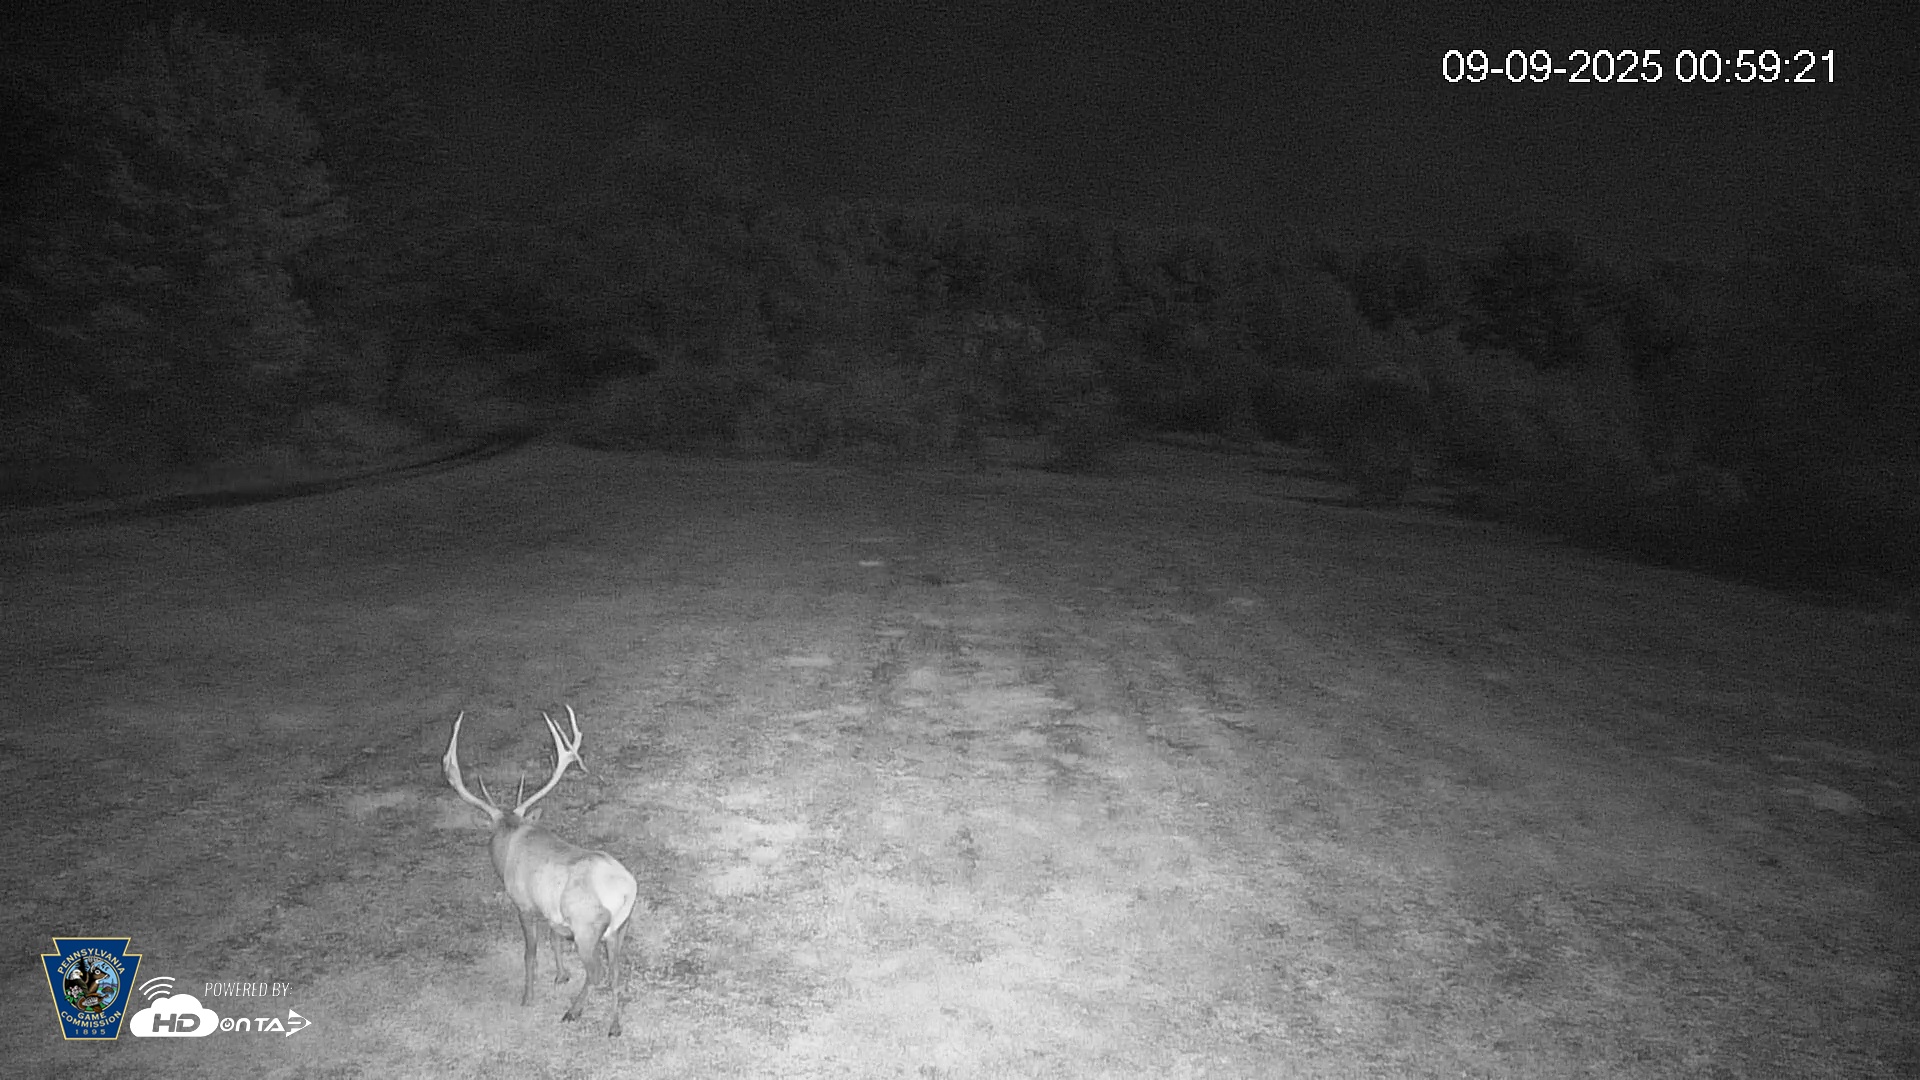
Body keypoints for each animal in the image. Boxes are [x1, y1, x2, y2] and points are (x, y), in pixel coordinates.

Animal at [443, 706, 638, 1037]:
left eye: (491, 833)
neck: (511, 840)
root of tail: (626, 890)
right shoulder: (552, 913)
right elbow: (554, 938)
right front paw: (560, 975)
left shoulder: (524, 904)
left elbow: (530, 953)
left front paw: (528, 997)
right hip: (619, 929)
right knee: (615, 974)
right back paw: (614, 1025)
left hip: (588, 928)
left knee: (597, 973)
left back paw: (573, 1011)